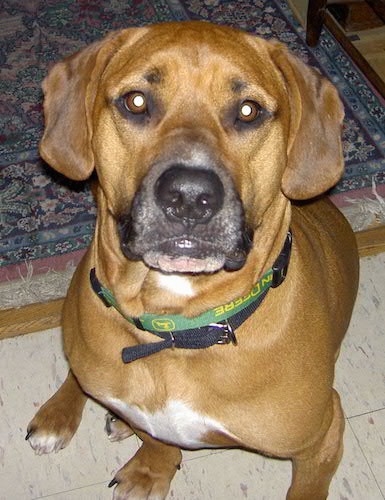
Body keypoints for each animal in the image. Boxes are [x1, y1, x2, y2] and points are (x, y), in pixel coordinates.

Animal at [26, 22, 356, 500]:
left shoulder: (321, 441)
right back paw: (61, 414)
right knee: (78, 371)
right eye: (136, 101)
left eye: (249, 111)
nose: (188, 195)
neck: (178, 330)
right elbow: (156, 436)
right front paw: (152, 469)